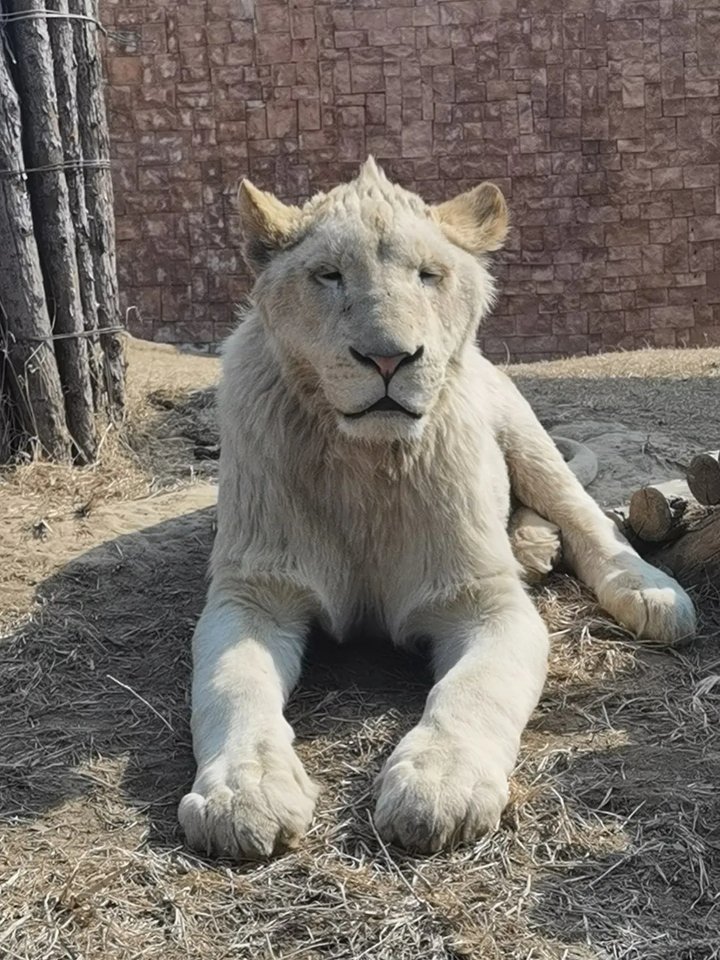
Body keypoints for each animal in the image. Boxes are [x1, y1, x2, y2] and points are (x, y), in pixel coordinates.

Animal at [177, 158, 696, 856]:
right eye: (328, 275)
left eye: (428, 275)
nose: (388, 358)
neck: (366, 464)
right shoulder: (254, 592)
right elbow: (232, 684)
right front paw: (243, 793)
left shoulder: (486, 602)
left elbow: (473, 689)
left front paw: (439, 785)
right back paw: (533, 547)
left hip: (523, 427)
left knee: (585, 514)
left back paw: (649, 592)